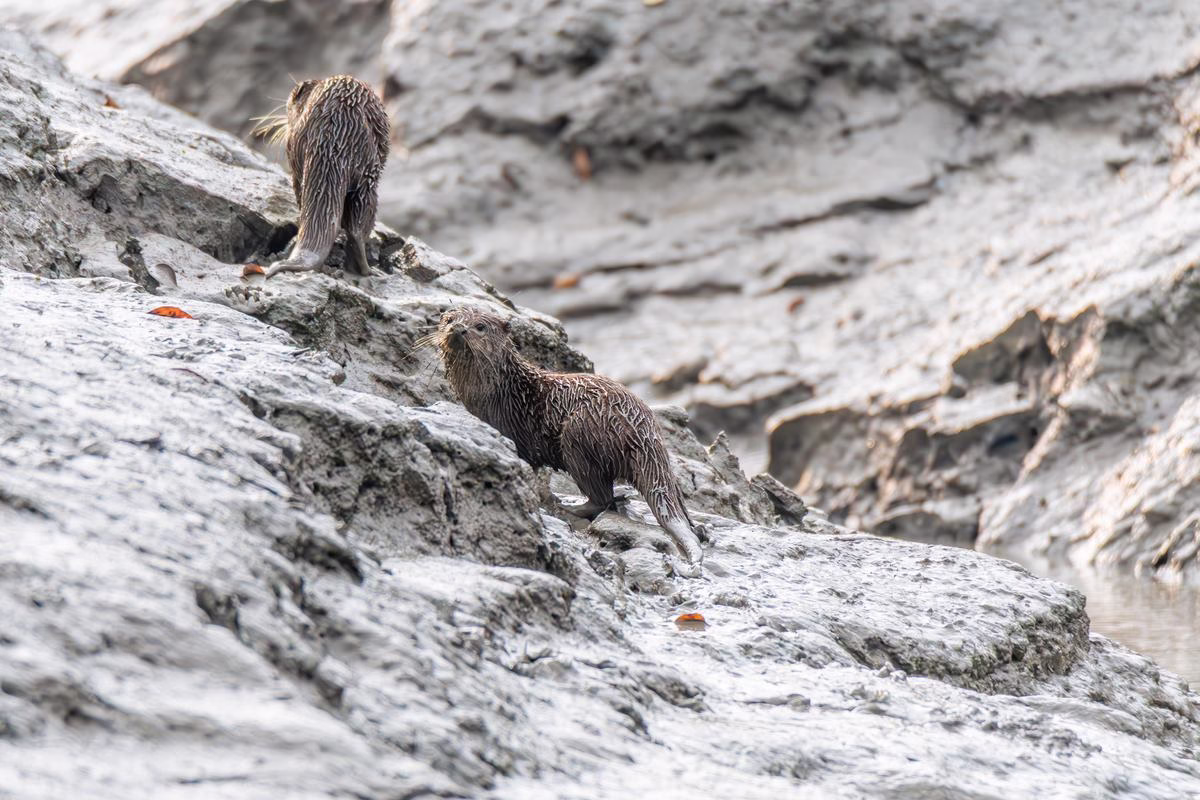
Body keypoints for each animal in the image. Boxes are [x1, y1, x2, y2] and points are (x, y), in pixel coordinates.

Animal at [434, 307, 704, 565]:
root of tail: (644, 433)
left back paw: (570, 506)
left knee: (601, 496)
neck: (502, 392)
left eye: (480, 326)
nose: (459, 329)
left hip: (580, 433)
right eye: (449, 320)